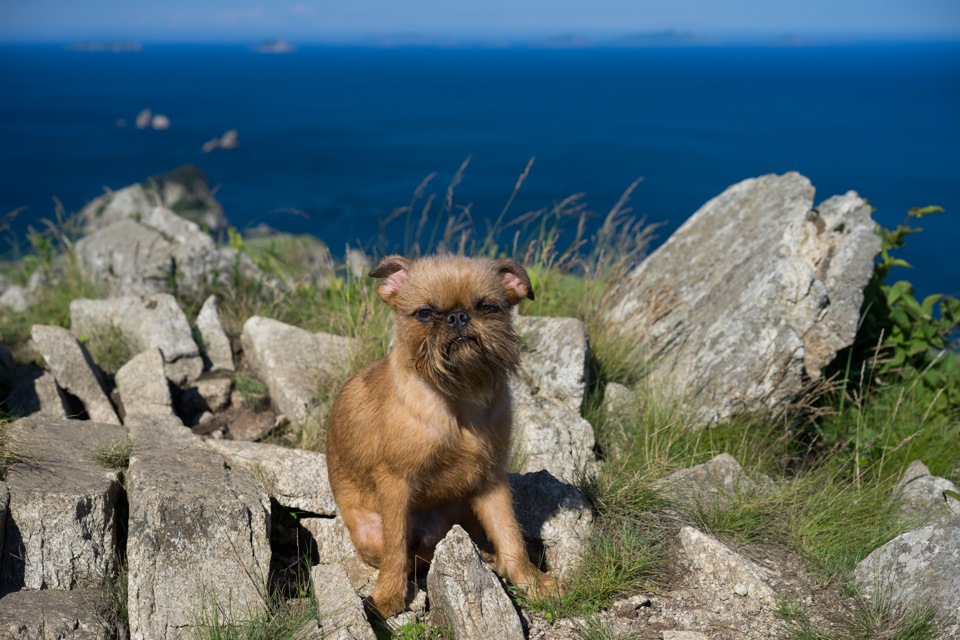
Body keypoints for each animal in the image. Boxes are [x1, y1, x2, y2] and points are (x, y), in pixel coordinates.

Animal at [326, 254, 560, 616]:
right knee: (409, 555)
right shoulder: (395, 485)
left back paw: (490, 558)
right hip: (369, 532)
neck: (458, 399)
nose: (458, 316)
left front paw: (530, 582)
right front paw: (389, 596)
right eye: (424, 313)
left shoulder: (491, 481)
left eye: (488, 307)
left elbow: (509, 534)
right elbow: (396, 548)